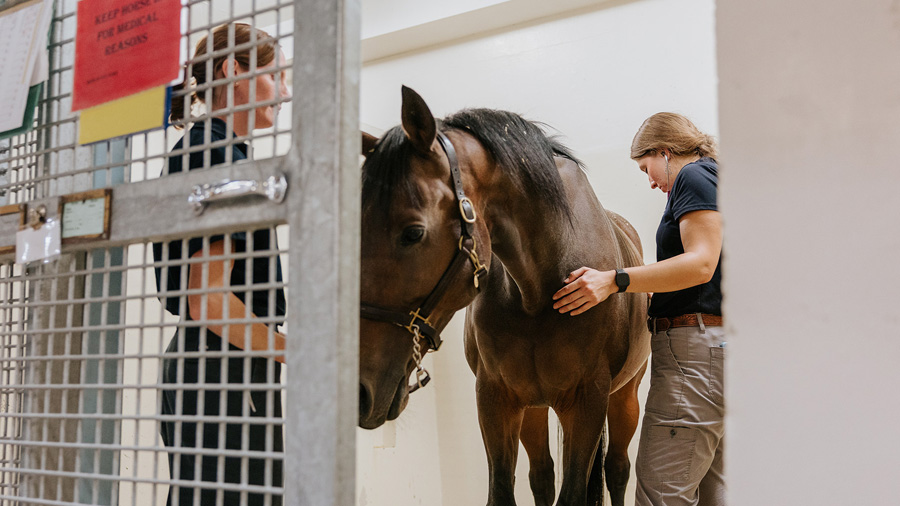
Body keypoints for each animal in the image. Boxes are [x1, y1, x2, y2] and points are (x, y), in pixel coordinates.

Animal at [358, 86, 650, 506]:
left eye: (413, 233)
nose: (360, 391)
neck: (537, 291)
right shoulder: (496, 400)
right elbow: (502, 489)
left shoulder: (588, 403)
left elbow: (575, 491)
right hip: (534, 407)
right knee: (542, 474)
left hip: (624, 397)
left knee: (617, 468)